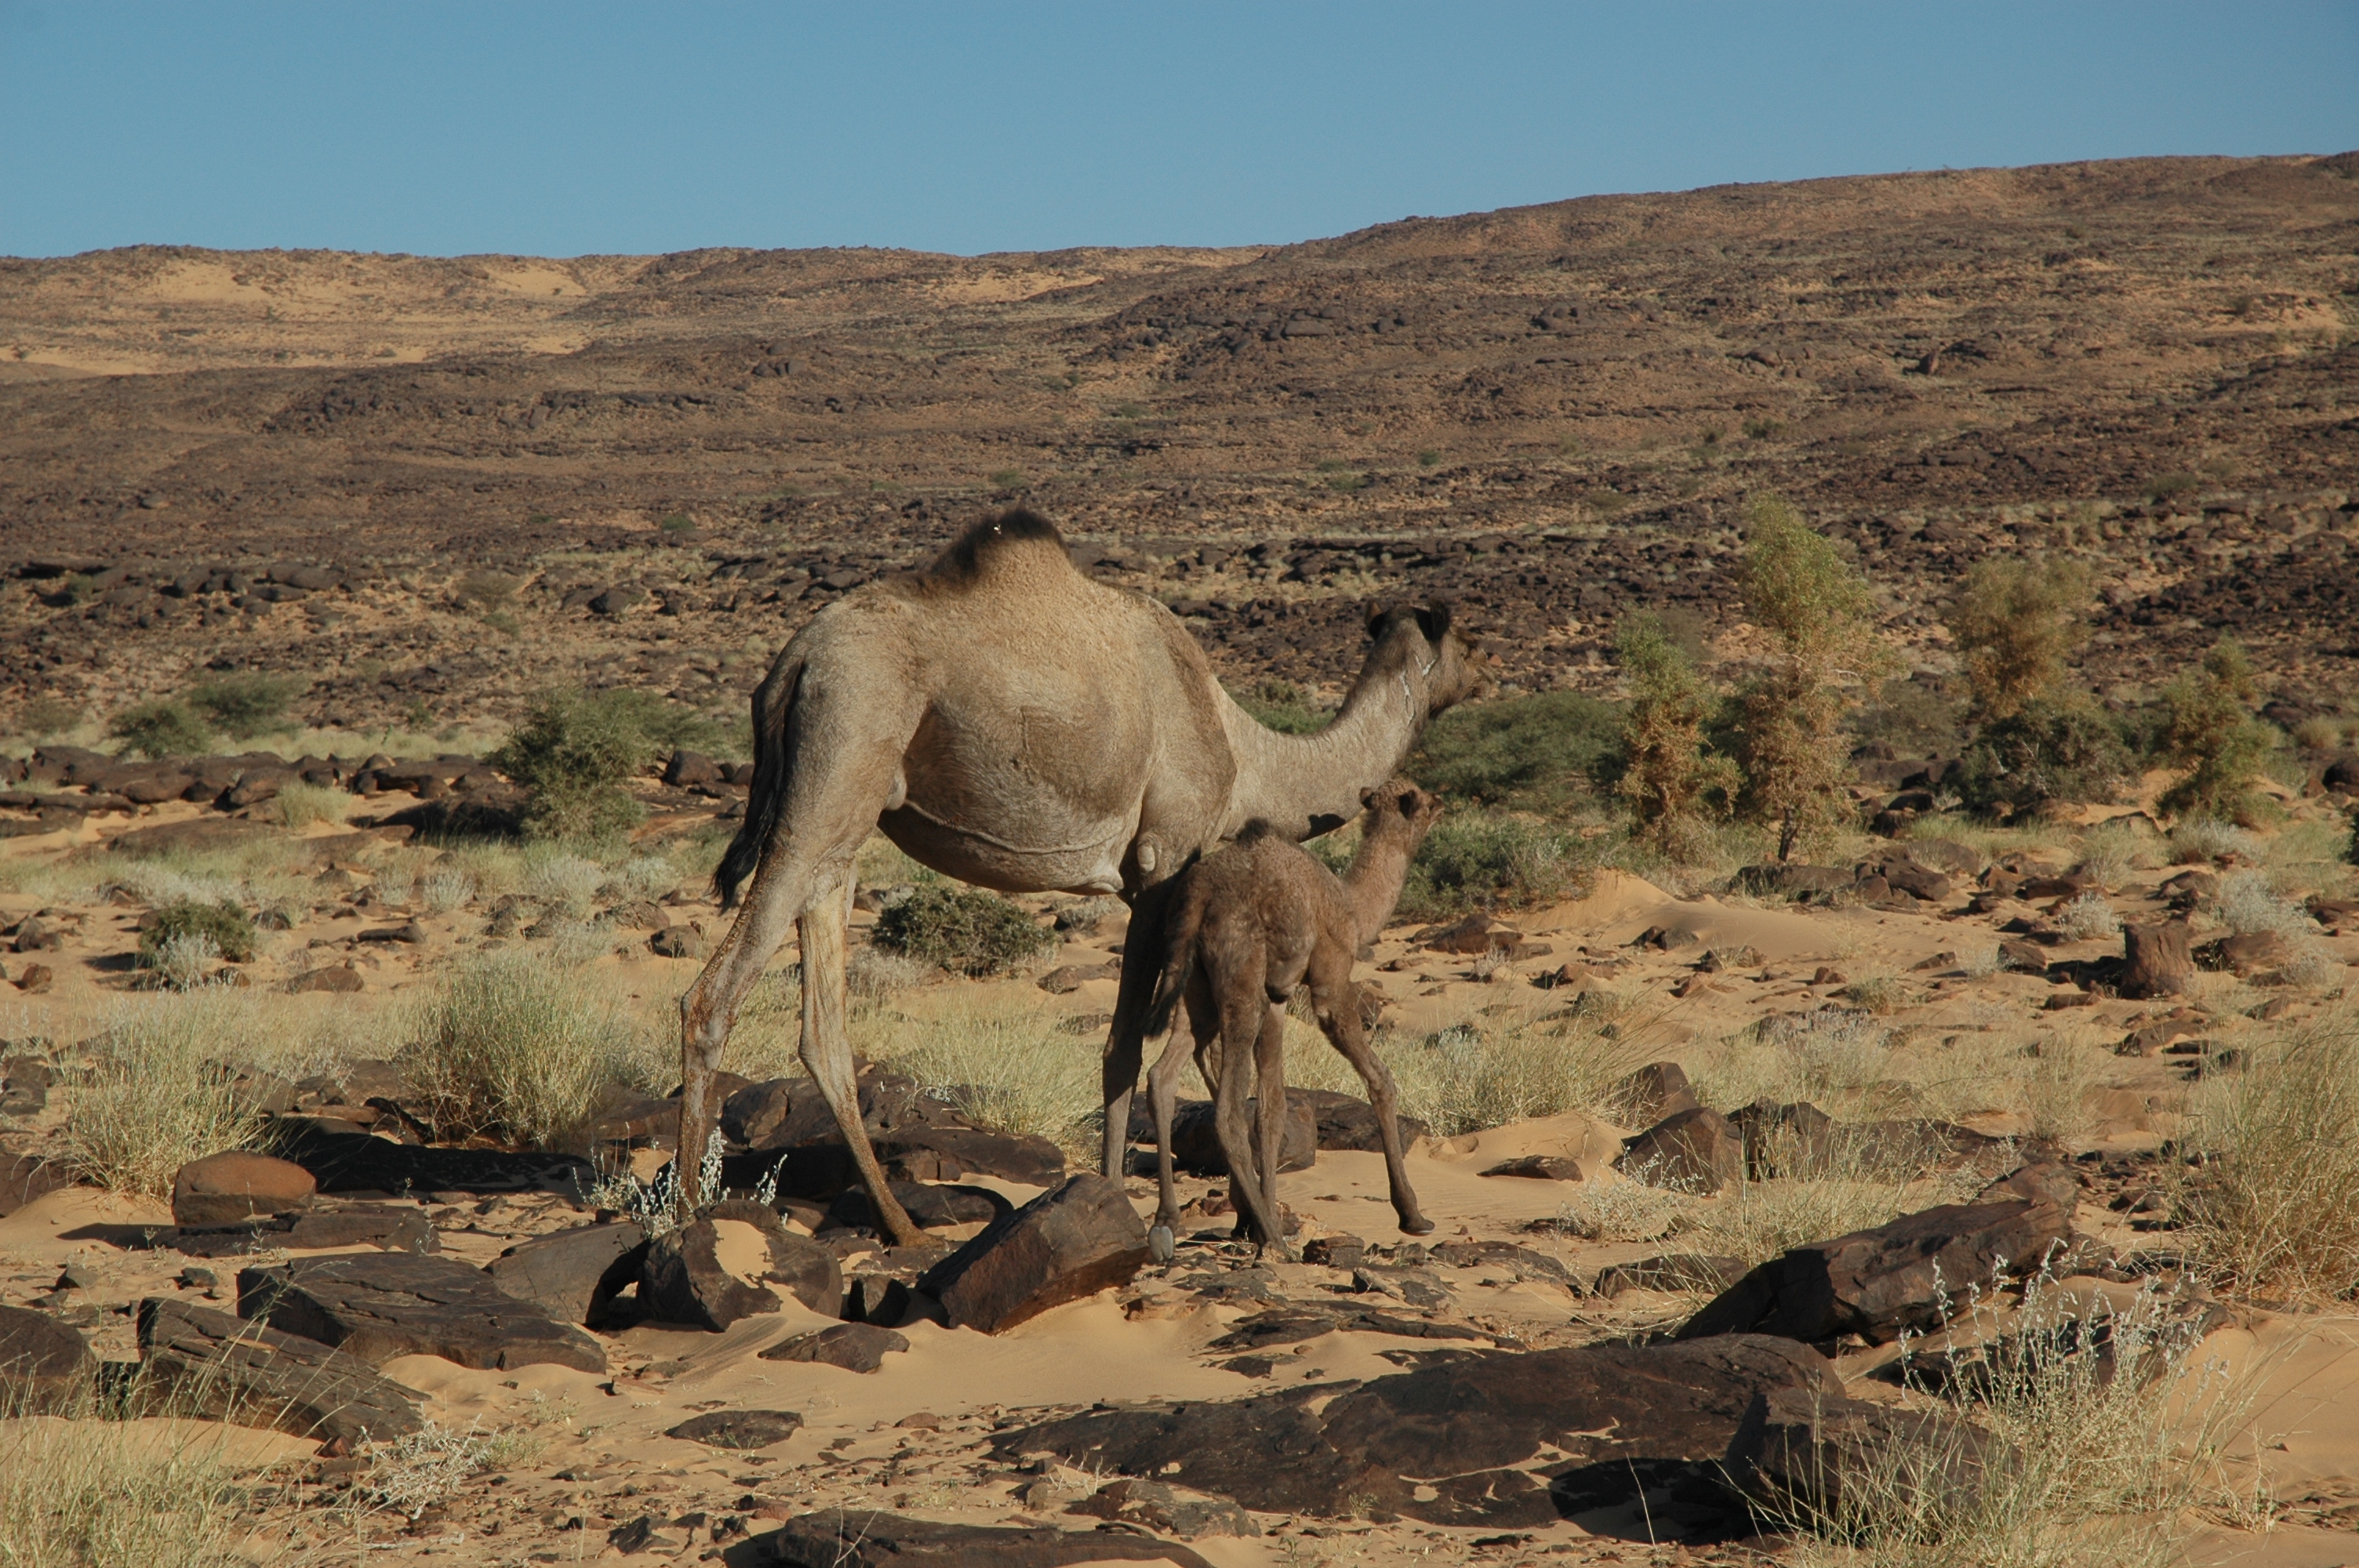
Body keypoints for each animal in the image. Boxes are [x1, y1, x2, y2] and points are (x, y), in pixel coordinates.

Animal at [1137, 777, 1445, 1258]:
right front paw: (1412, 1214)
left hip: (1193, 984)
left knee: (1163, 1076)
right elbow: (1380, 1078)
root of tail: (1199, 897)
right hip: (1240, 972)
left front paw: (1257, 1215)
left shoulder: (1278, 997)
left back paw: (1167, 1223)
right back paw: (1276, 1240)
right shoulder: (1330, 978)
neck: (1353, 907)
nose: (1442, 802)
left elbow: (1273, 1107)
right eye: (1423, 800)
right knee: (1226, 1110)